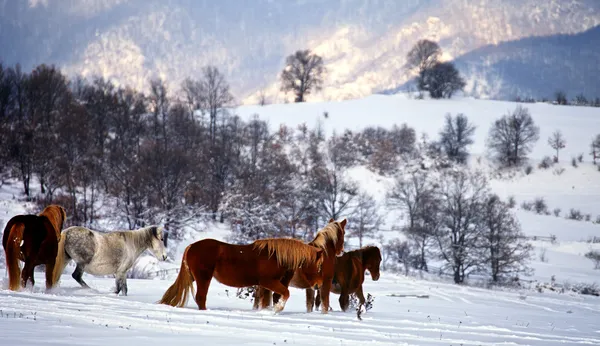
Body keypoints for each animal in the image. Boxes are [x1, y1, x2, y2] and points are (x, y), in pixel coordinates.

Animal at [156, 238, 324, 314]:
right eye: (319, 266)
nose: (318, 285)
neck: (276, 257)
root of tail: (191, 246)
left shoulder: (268, 285)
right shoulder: (268, 282)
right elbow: (285, 294)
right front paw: (277, 309)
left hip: (193, 277)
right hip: (203, 278)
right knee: (200, 297)